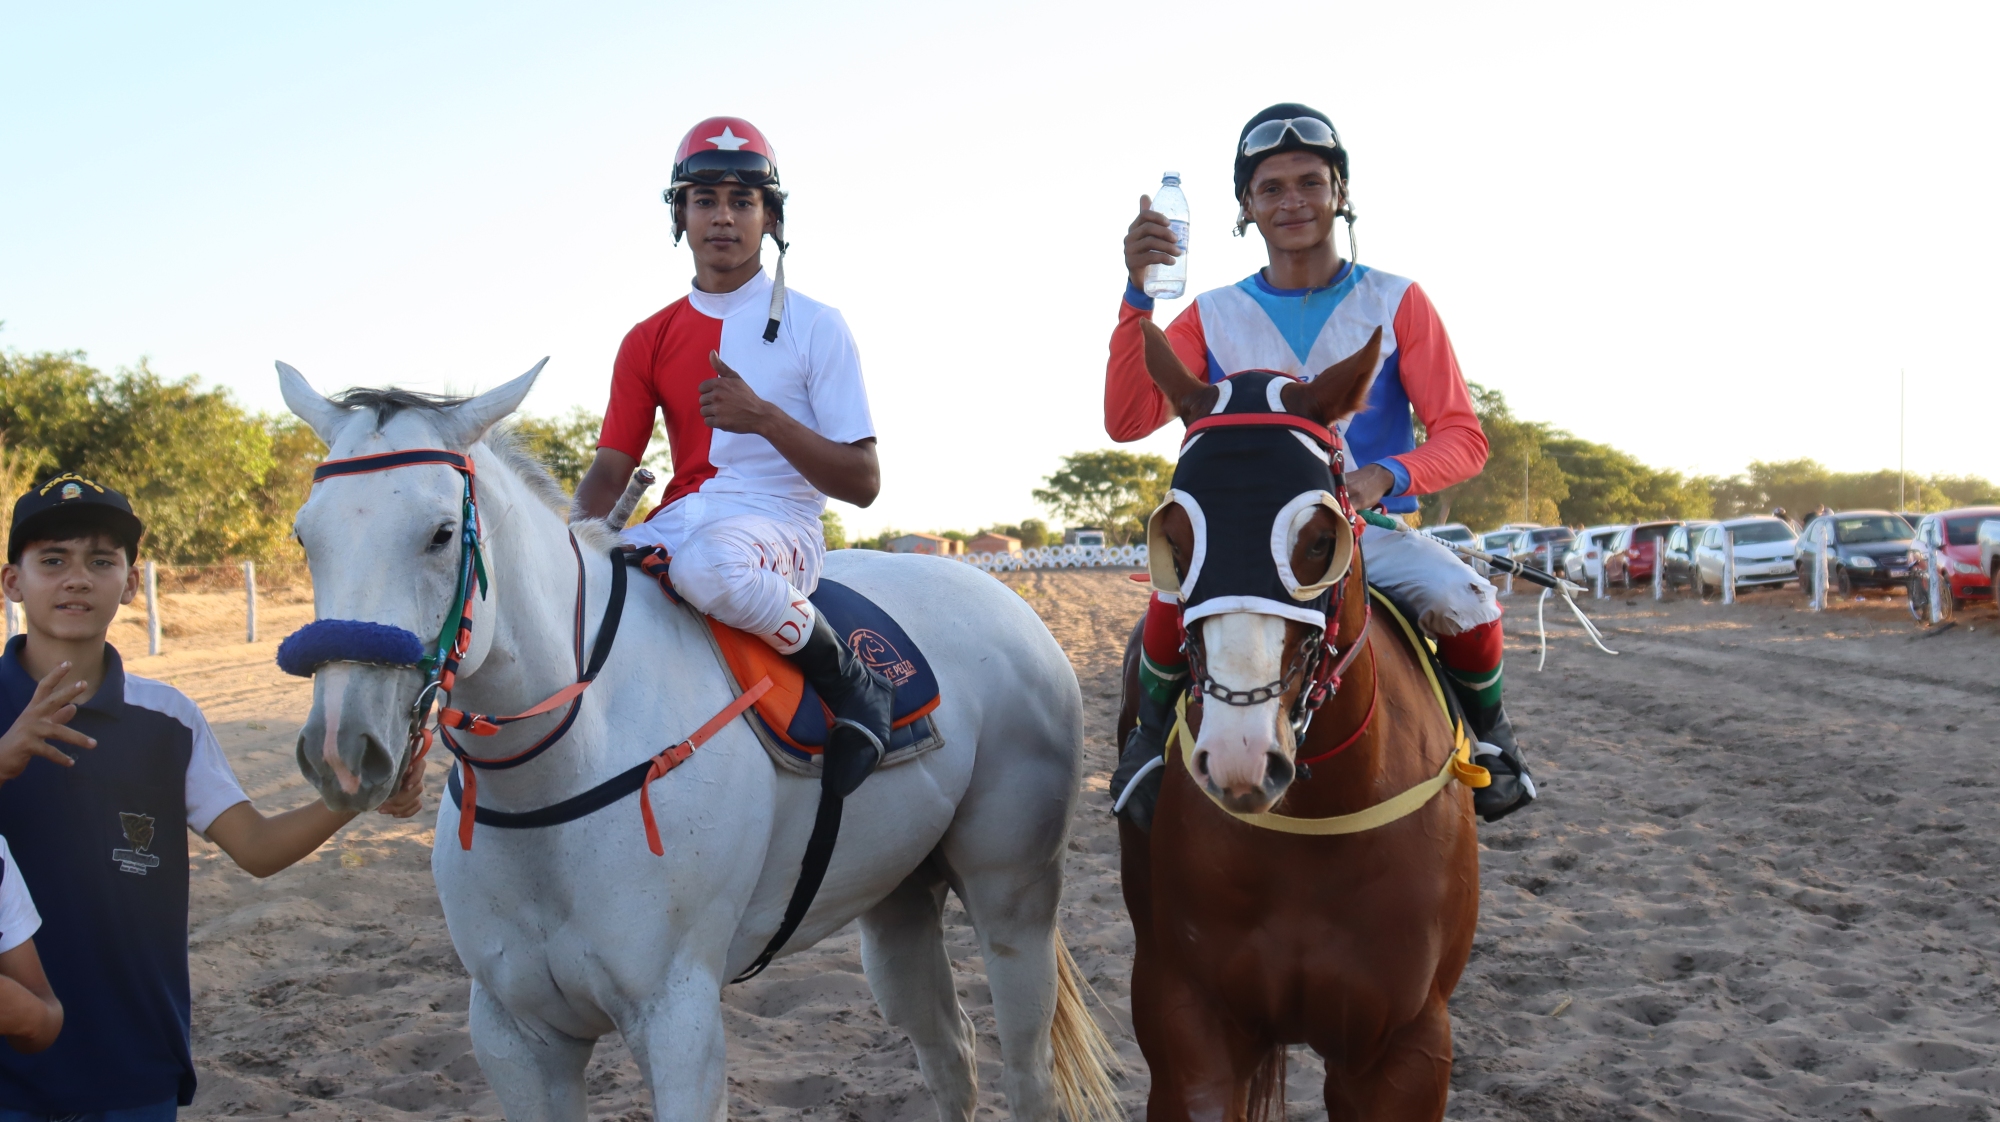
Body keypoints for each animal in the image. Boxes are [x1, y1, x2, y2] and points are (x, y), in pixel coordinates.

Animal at [275, 362, 1118, 1122]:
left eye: (441, 534)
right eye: (304, 536)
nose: (342, 747)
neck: (559, 777)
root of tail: (1000, 597)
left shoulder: (678, 1020)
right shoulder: (515, 1035)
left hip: (1012, 899)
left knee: (1027, 1070)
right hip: (897, 899)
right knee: (949, 1052)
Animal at [1115, 322, 1482, 1122]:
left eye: (1319, 542)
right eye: (1177, 545)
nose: (1240, 757)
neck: (1316, 822)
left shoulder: (1406, 1043)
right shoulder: (1187, 1020)